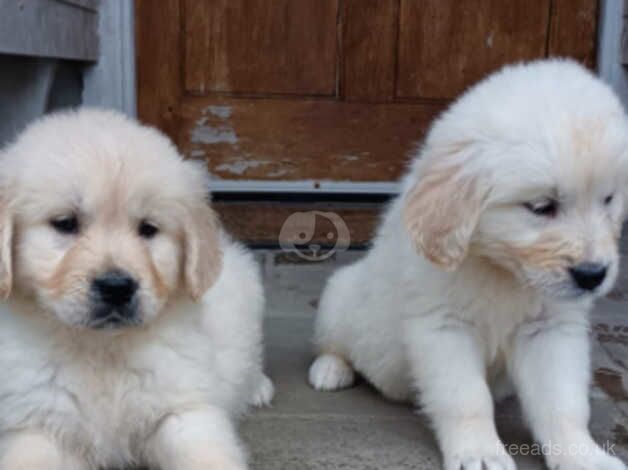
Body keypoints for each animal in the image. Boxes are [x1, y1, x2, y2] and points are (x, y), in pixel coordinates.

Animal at [0, 110, 272, 470]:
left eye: (148, 229)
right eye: (65, 223)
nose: (116, 287)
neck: (101, 349)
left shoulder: (184, 410)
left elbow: (206, 455)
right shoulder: (38, 423)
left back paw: (258, 387)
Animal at [312, 59, 628, 470]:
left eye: (608, 199)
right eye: (542, 207)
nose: (593, 276)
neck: (504, 270)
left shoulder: (551, 329)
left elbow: (563, 404)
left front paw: (583, 456)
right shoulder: (445, 326)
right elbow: (466, 398)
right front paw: (479, 453)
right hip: (339, 299)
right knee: (334, 344)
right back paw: (330, 369)